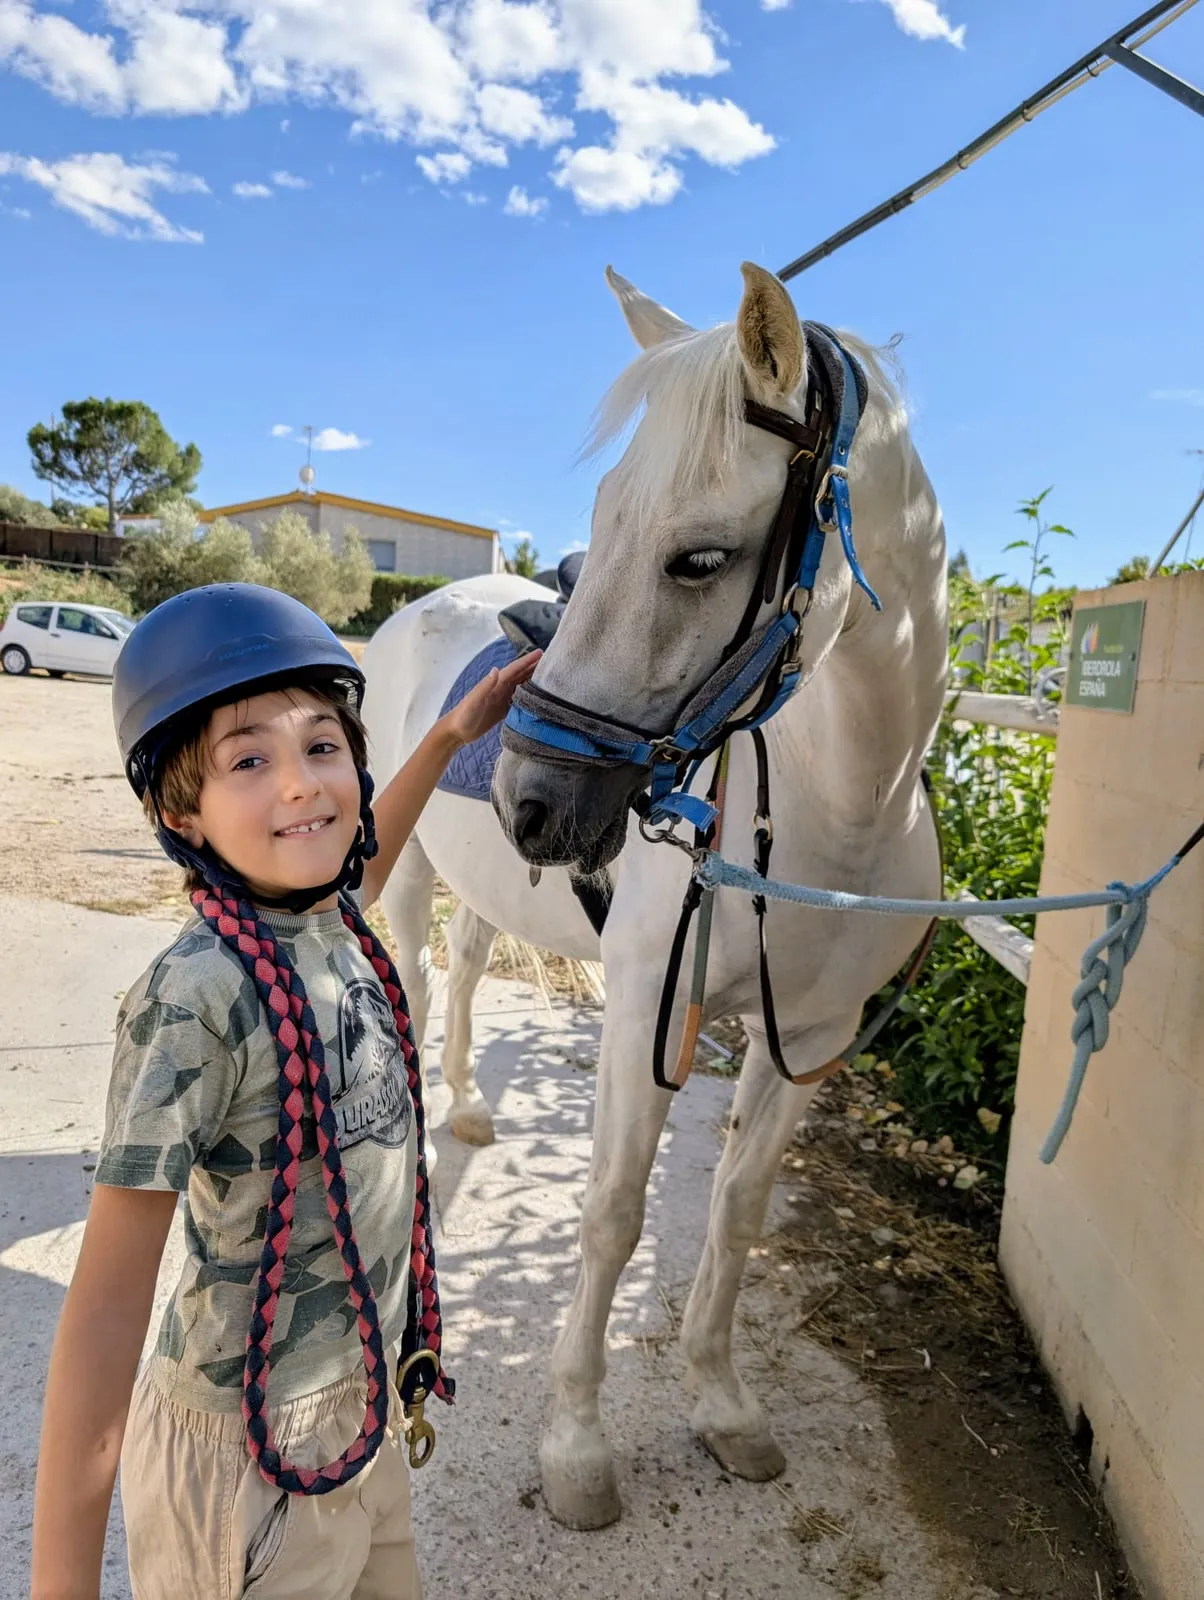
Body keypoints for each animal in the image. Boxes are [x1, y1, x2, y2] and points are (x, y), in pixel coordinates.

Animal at [361, 261, 948, 1530]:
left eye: (699, 558)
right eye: (598, 522)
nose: (532, 795)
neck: (841, 815)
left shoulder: (806, 1042)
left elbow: (735, 1212)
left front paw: (722, 1404)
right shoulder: (645, 1010)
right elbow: (615, 1212)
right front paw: (577, 1445)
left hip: (489, 884)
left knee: (467, 971)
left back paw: (471, 1104)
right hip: (412, 867)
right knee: (421, 979)